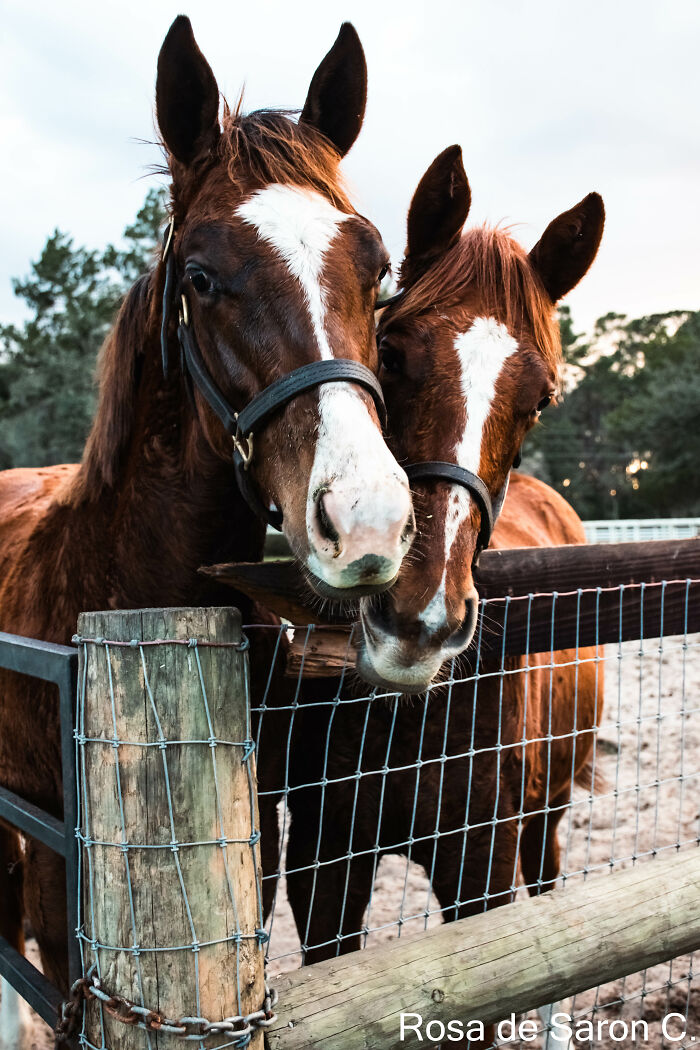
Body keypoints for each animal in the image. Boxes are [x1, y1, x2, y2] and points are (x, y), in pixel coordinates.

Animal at [283, 149, 605, 1047]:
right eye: (391, 352)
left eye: (540, 398)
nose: (419, 620)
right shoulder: (323, 867)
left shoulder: (480, 872)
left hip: (550, 807)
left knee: (554, 895)